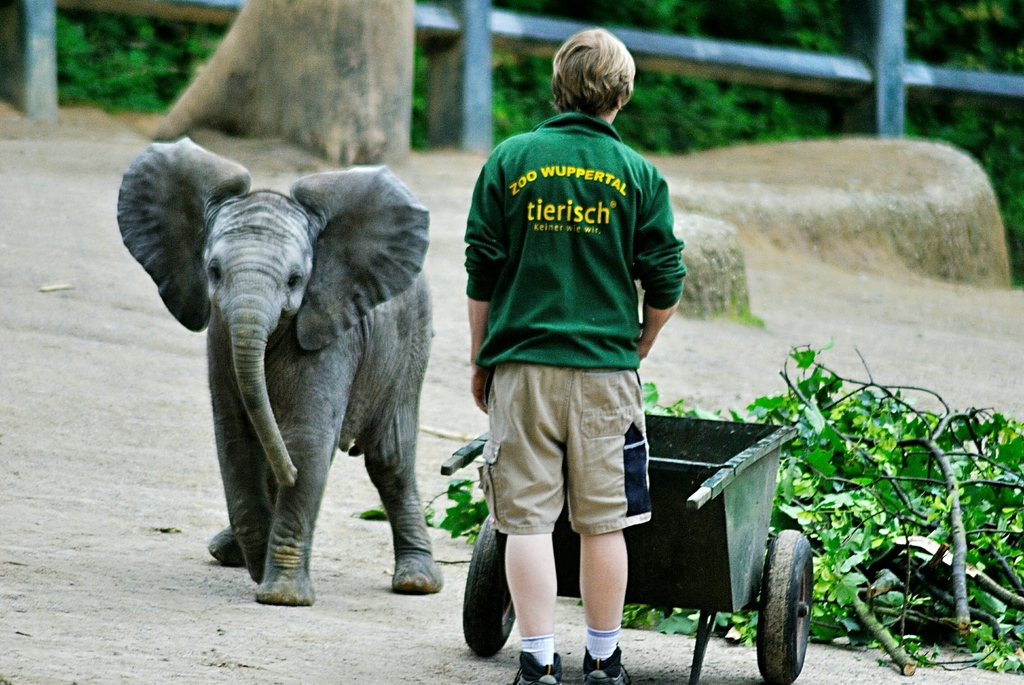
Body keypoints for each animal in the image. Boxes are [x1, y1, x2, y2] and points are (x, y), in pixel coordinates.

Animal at [116, 137, 443, 606]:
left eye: (295, 279)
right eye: (213, 271)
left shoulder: (329, 331)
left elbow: (305, 441)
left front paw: (282, 596)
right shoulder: (221, 334)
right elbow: (236, 439)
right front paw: (258, 561)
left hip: (410, 343)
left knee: (390, 459)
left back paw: (417, 583)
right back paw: (225, 551)